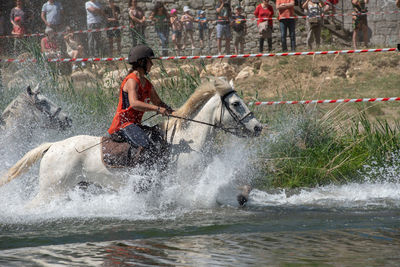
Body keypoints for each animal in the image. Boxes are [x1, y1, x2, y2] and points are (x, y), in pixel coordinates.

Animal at [0, 77, 262, 207]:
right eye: (236, 104)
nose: (258, 127)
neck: (189, 141)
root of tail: (52, 146)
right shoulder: (186, 185)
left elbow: (240, 190)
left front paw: (243, 198)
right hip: (51, 190)